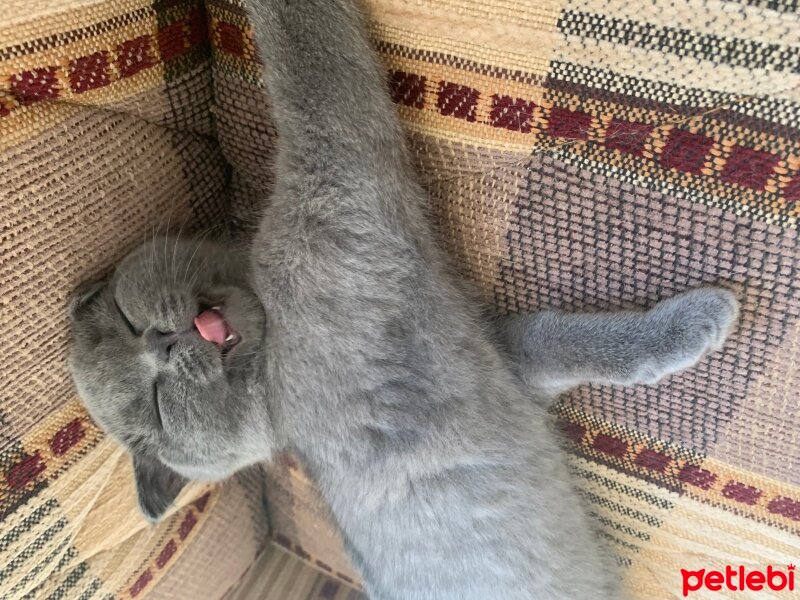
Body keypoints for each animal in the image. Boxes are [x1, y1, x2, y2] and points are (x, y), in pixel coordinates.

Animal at [69, 1, 736, 600]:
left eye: (126, 318)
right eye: (160, 409)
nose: (162, 343)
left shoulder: (499, 355)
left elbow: (558, 340)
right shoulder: (338, 192)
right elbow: (309, 59)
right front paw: (704, 320)